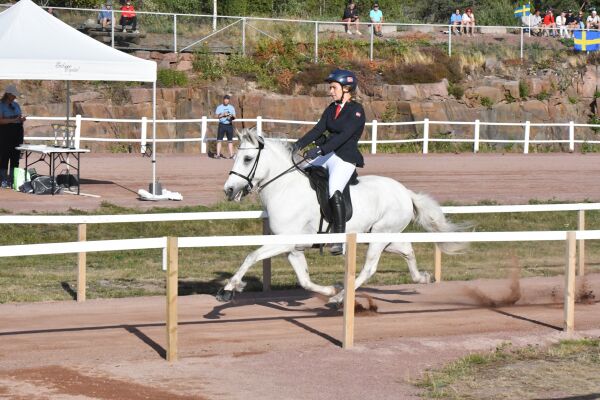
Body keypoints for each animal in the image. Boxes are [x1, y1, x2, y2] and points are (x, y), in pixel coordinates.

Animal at [219, 130, 464, 304]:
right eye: (235, 157)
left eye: (247, 158)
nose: (229, 190)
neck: (284, 188)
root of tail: (405, 192)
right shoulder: (293, 248)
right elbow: (304, 280)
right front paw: (330, 289)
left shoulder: (285, 242)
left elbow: (251, 256)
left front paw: (228, 289)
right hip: (381, 236)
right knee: (407, 250)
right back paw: (422, 278)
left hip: (380, 237)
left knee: (369, 269)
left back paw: (340, 298)